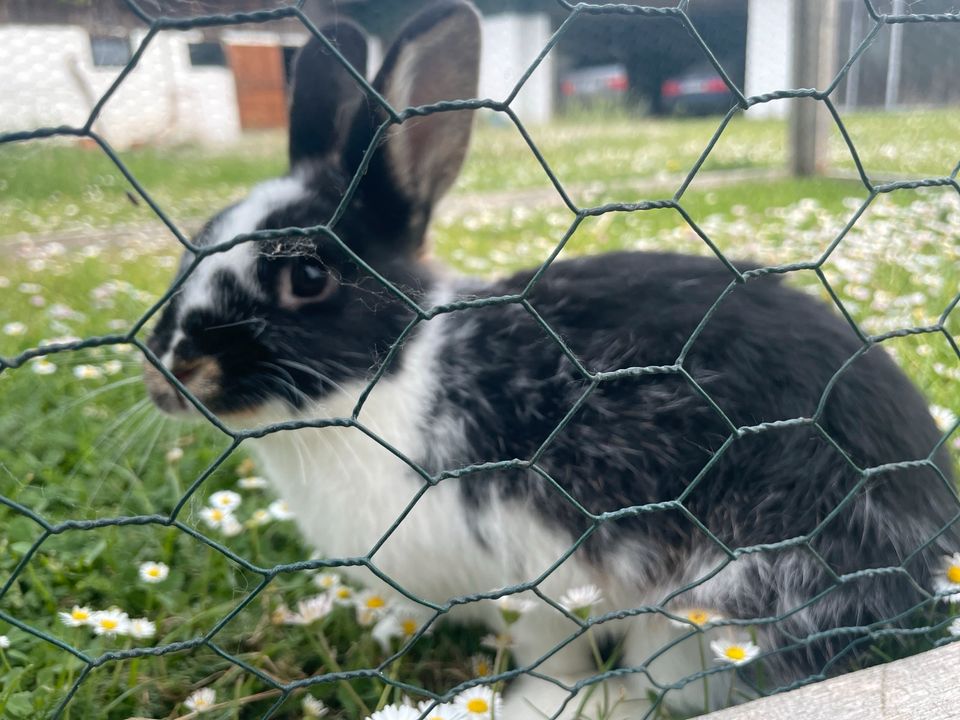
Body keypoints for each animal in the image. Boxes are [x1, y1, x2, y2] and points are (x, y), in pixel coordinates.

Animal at [142, 2, 960, 716]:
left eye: (307, 277)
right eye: (196, 240)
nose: (169, 373)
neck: (402, 376)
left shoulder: (541, 578)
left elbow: (549, 652)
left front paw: (535, 702)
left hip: (718, 607)